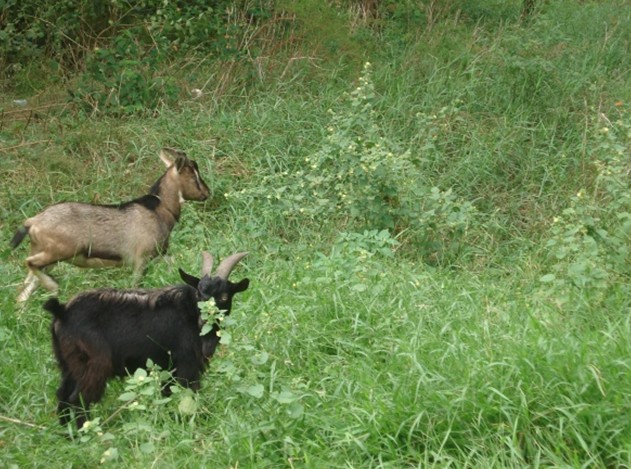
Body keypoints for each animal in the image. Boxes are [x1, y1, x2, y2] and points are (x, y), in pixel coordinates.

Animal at [11, 148, 210, 302]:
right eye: (194, 176)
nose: (207, 193)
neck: (158, 209)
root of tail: (33, 221)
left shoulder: (161, 254)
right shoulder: (141, 259)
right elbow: (136, 286)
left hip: (47, 255)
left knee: (23, 291)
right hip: (59, 250)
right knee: (29, 263)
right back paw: (52, 286)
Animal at [43, 251, 249, 429]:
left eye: (223, 296)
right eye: (199, 294)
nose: (203, 321)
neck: (188, 313)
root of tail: (62, 312)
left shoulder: (168, 367)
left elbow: (167, 394)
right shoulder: (186, 363)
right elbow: (188, 393)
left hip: (68, 363)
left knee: (62, 394)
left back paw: (68, 436)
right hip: (95, 364)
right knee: (78, 399)